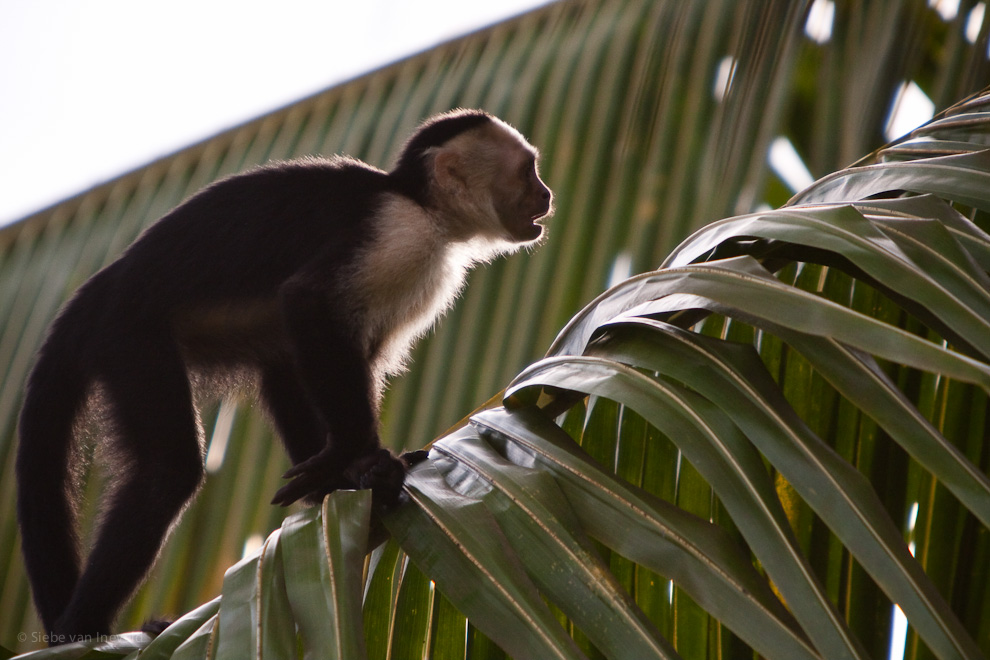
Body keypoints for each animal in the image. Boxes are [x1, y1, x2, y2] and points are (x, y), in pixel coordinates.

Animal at [15, 111, 556, 640]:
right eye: (527, 172)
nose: (548, 193)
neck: (421, 205)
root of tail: (103, 285)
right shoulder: (398, 234)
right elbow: (309, 302)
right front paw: (357, 457)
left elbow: (315, 353)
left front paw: (343, 475)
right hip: (128, 336)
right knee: (168, 471)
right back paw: (83, 628)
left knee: (278, 364)